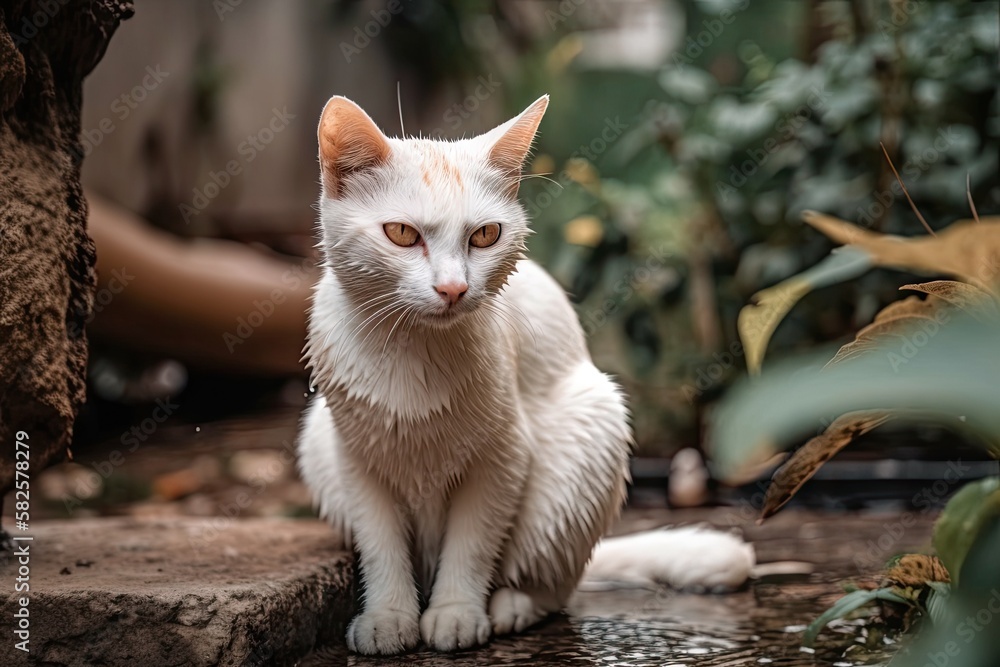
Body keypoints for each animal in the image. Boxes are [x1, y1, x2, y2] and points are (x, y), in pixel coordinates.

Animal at [294, 94, 752, 656]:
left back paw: (510, 605)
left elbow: (472, 543)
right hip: (316, 439)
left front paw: (455, 612)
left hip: (590, 428)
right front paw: (388, 617)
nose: (453, 289)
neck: (413, 350)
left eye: (485, 235)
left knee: (553, 587)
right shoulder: (356, 459)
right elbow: (380, 544)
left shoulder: (505, 456)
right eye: (402, 234)